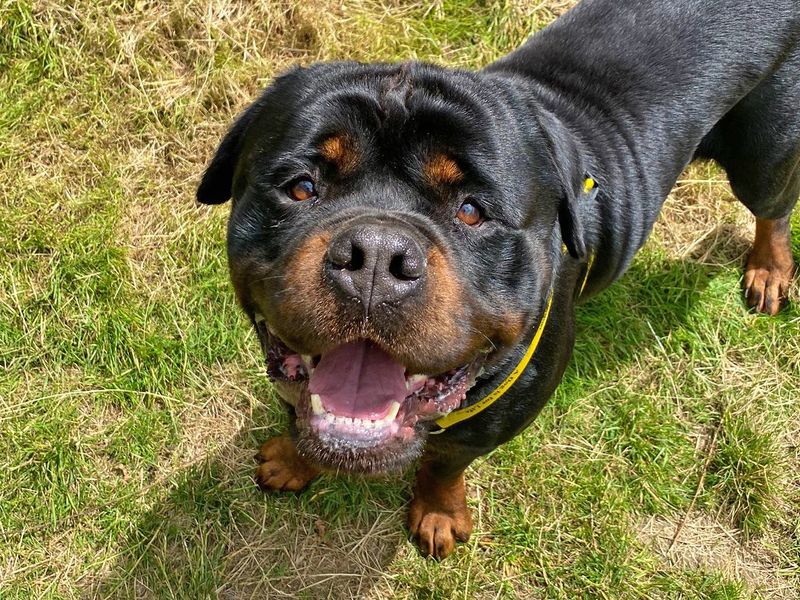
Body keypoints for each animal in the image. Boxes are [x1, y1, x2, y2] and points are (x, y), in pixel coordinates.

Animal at [195, 0, 800, 556]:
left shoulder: (506, 409)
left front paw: (438, 513)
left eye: (471, 211)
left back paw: (769, 269)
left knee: (774, 206)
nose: (377, 257)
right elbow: (300, 408)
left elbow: (447, 460)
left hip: (763, 156)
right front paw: (292, 458)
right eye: (300, 187)